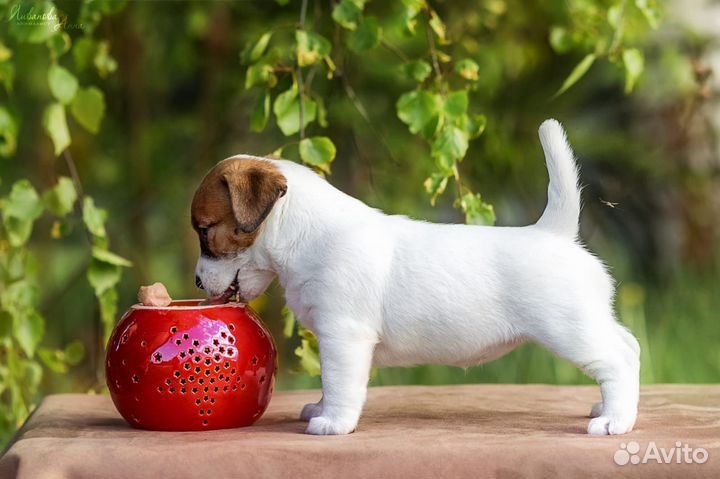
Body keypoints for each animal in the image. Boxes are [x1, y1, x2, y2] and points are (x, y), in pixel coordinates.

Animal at [191, 119, 640, 436]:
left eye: (204, 230)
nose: (196, 283)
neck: (306, 235)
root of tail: (553, 232)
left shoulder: (343, 336)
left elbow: (338, 382)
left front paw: (332, 422)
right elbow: (329, 382)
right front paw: (319, 408)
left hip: (570, 330)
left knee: (616, 360)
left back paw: (614, 421)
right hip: (590, 322)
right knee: (629, 348)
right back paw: (613, 409)